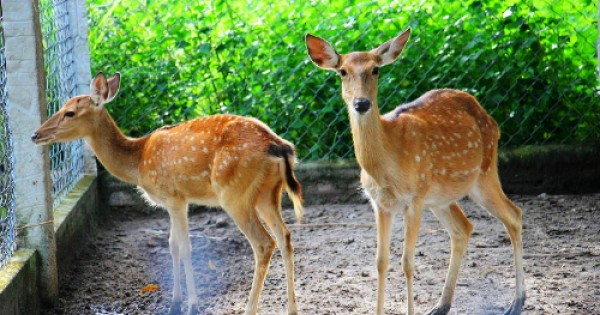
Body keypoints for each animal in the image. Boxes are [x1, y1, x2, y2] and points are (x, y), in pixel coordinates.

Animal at [31, 72, 304, 315]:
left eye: (69, 112)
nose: (36, 134)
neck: (138, 161)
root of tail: (281, 147)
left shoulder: (174, 197)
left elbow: (184, 246)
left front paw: (191, 306)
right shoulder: (174, 201)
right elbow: (172, 245)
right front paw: (175, 304)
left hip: (235, 194)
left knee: (263, 243)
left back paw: (249, 309)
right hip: (268, 194)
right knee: (285, 236)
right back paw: (291, 309)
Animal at [308, 29, 524, 315]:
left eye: (376, 69)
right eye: (342, 71)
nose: (361, 103)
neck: (386, 165)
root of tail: (488, 116)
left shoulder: (415, 198)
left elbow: (407, 262)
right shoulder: (380, 204)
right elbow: (381, 261)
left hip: (483, 175)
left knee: (514, 214)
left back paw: (517, 302)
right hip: (441, 197)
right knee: (463, 228)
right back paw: (441, 305)